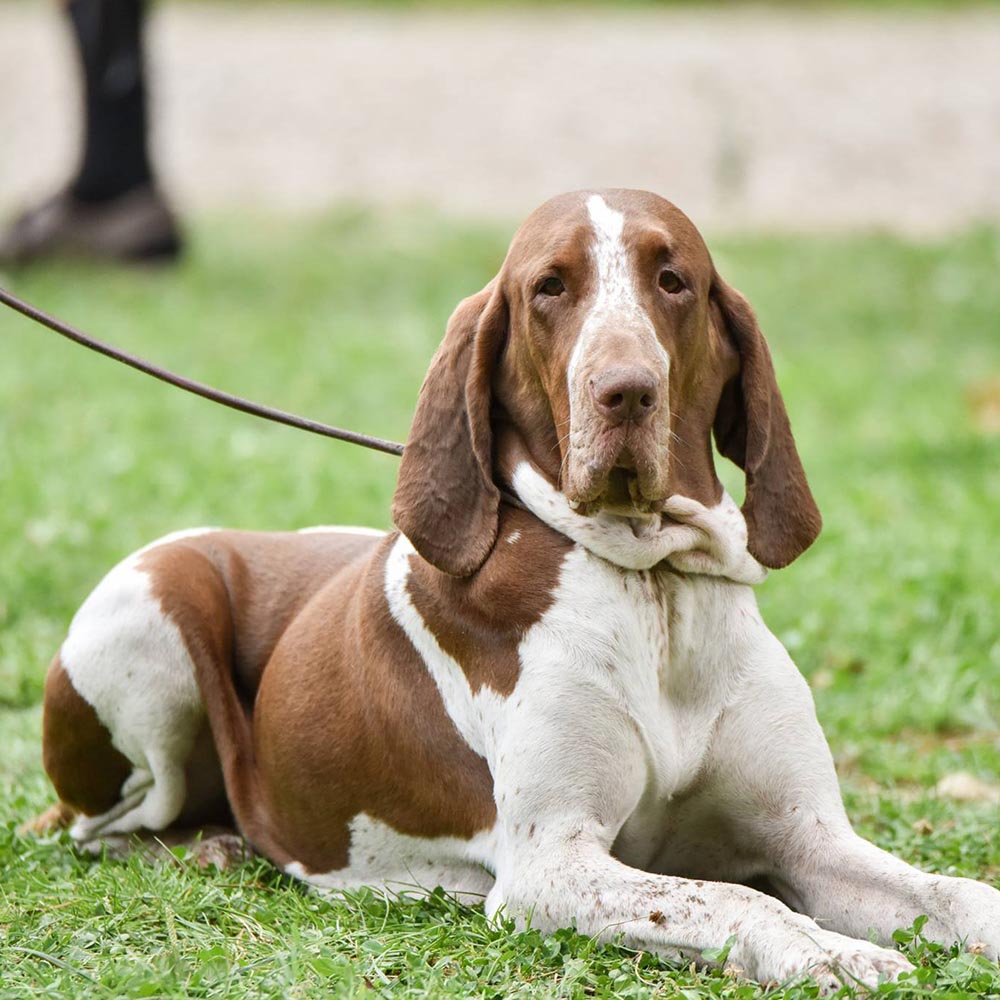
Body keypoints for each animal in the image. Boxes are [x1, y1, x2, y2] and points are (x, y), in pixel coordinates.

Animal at [37, 191, 1000, 996]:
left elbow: (957, 893)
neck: (653, 584)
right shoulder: (553, 868)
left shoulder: (809, 839)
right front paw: (826, 951)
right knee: (106, 827)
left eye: (673, 280)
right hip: (157, 607)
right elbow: (735, 899)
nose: (625, 392)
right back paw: (211, 849)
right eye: (549, 287)